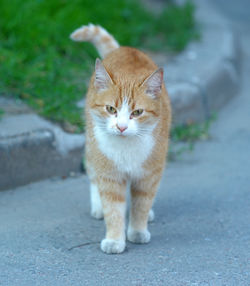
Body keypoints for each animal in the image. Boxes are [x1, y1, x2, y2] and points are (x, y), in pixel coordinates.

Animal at [71, 23, 172, 254]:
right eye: (111, 109)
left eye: (137, 112)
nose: (122, 126)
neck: (126, 149)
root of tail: (124, 49)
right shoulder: (110, 175)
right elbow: (114, 210)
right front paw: (115, 240)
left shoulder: (148, 175)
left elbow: (141, 204)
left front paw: (138, 230)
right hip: (92, 147)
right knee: (92, 174)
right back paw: (97, 206)